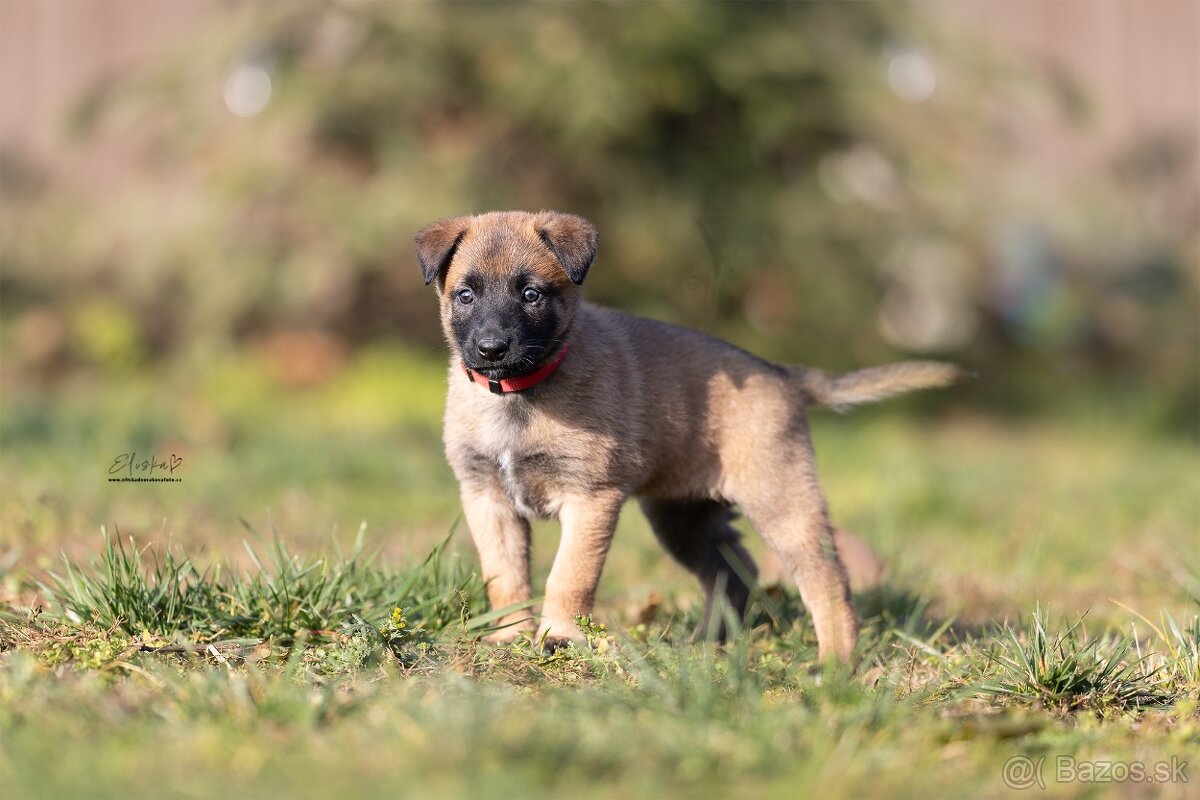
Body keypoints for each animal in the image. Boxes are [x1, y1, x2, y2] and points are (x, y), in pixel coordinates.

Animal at [417, 209, 960, 662]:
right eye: (465, 295)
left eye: (531, 294)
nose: (491, 349)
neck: (519, 395)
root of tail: (784, 375)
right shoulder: (486, 497)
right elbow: (505, 577)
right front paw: (509, 635)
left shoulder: (590, 499)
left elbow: (568, 577)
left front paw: (560, 637)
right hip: (683, 517)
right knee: (733, 572)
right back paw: (707, 645)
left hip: (781, 504)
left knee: (827, 582)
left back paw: (835, 664)